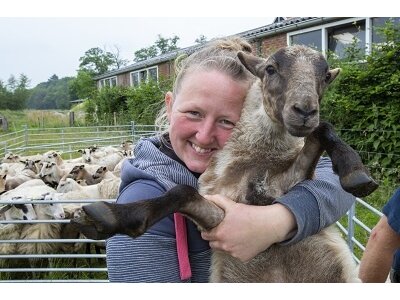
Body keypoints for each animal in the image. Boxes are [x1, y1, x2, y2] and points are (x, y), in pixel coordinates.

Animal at [72, 44, 378, 282]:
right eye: (270, 69)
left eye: (325, 76)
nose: (304, 111)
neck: (255, 161)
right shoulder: (219, 214)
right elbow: (182, 192)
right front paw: (107, 216)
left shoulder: (284, 183)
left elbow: (323, 129)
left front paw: (355, 173)